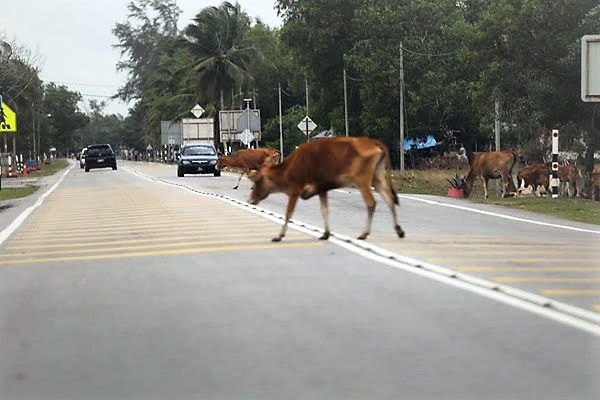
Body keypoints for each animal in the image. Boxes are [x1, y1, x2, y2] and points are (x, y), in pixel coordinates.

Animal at [246, 138, 406, 242]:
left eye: (256, 183)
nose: (250, 199)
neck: (289, 168)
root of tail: (374, 142)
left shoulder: (295, 191)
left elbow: (288, 213)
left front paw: (279, 236)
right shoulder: (322, 189)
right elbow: (325, 210)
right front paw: (326, 234)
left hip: (362, 181)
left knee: (371, 203)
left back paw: (364, 234)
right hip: (377, 179)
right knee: (389, 199)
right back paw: (399, 230)